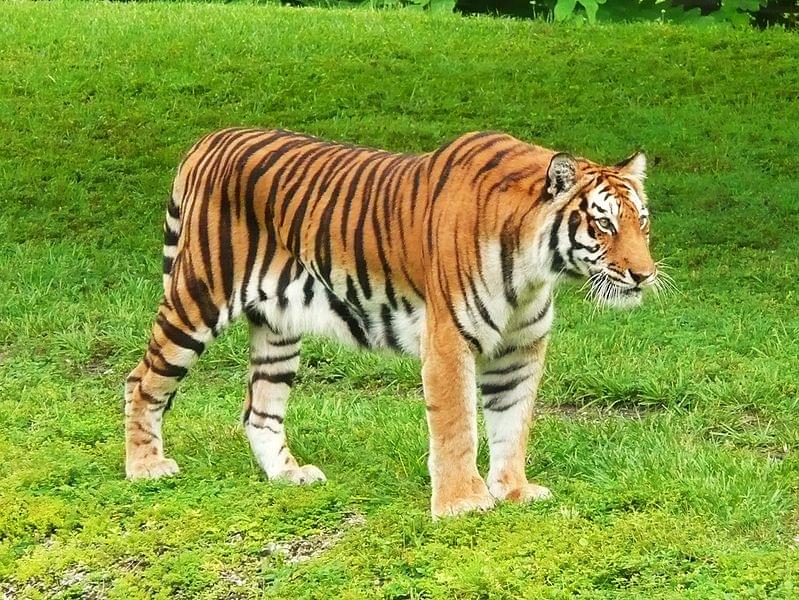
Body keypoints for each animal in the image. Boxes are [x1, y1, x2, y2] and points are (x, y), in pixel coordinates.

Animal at [125, 129, 660, 516]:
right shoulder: (449, 339)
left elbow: (513, 422)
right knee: (142, 380)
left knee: (260, 410)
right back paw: (145, 467)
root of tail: (209, 140)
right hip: (197, 299)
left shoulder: (520, 349)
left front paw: (514, 492)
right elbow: (457, 425)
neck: (534, 269)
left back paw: (288, 476)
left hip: (278, 328)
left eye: (642, 221)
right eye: (604, 224)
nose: (644, 274)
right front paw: (464, 503)